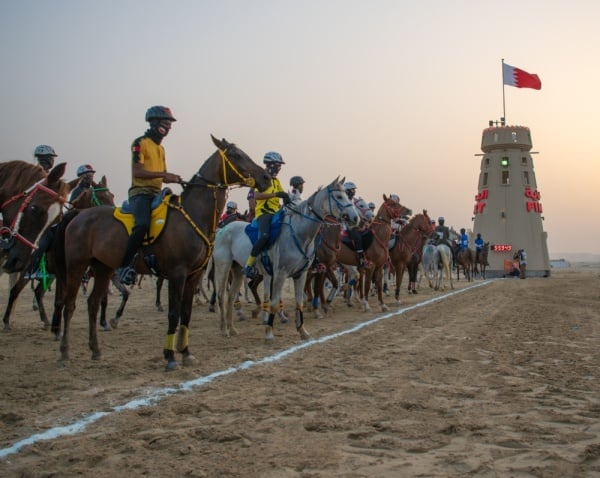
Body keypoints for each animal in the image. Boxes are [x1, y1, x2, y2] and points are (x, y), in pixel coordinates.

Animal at [1, 176, 118, 332]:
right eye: (102, 197)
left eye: (112, 195)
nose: (114, 214)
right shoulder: (63, 274)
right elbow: (60, 301)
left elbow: (102, 298)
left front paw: (104, 322)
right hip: (28, 271)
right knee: (15, 291)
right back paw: (7, 321)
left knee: (38, 292)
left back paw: (45, 320)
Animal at [54, 134, 270, 370]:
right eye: (236, 155)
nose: (266, 177)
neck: (192, 215)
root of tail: (78, 215)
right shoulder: (177, 274)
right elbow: (173, 314)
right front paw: (170, 356)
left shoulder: (193, 275)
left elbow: (186, 313)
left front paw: (185, 352)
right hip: (77, 266)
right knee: (69, 305)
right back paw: (64, 351)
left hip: (103, 268)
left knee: (92, 304)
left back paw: (95, 349)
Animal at [213, 178, 358, 340]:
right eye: (339, 197)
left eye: (347, 195)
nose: (355, 218)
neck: (298, 234)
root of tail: (222, 229)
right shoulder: (280, 274)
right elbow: (274, 303)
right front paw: (269, 332)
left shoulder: (301, 275)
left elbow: (299, 302)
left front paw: (302, 331)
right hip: (223, 267)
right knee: (221, 296)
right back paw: (224, 329)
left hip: (238, 269)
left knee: (231, 296)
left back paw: (232, 328)